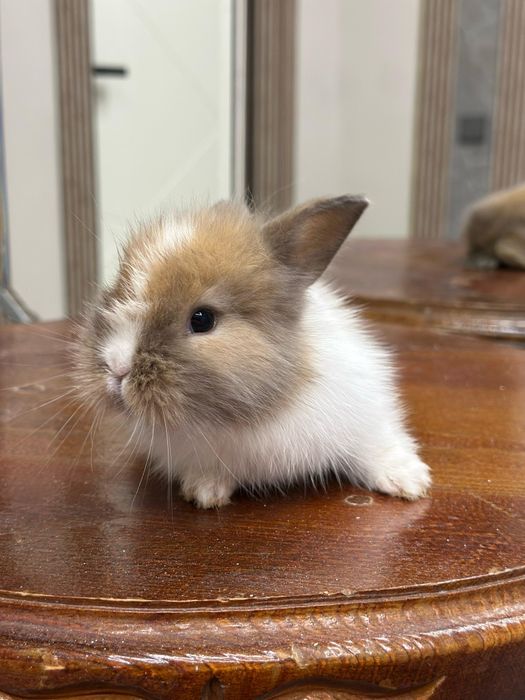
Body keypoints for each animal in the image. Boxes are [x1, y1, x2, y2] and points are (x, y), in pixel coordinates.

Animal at [74, 196, 431, 508]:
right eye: (116, 288)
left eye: (202, 319)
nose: (116, 366)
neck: (248, 417)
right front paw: (204, 493)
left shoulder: (365, 416)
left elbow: (373, 447)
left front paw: (410, 482)